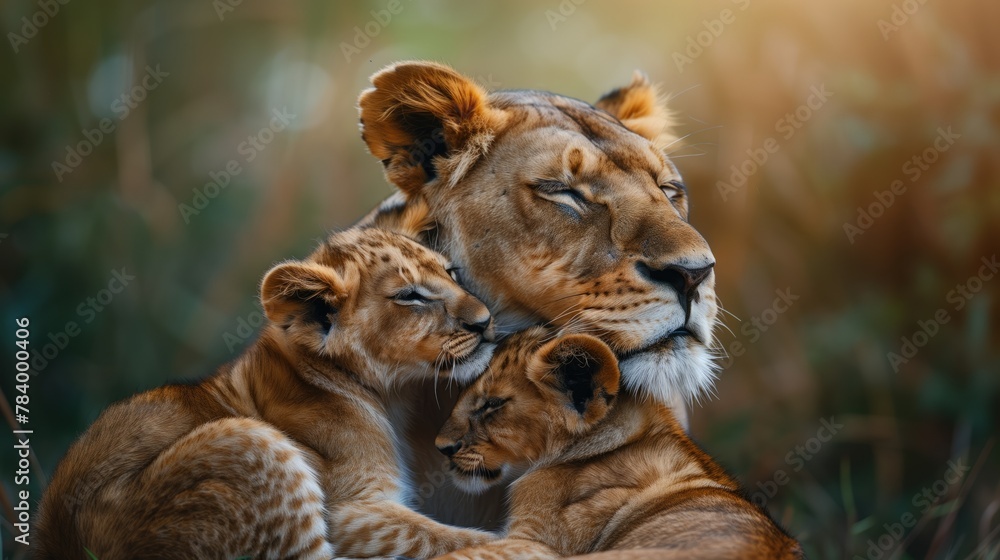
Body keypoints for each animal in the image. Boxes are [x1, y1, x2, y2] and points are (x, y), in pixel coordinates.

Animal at [34, 203, 498, 559]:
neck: (387, 394)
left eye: (452, 273)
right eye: (410, 297)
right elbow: (449, 538)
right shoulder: (351, 509)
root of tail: (55, 543)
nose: (485, 321)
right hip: (250, 441)